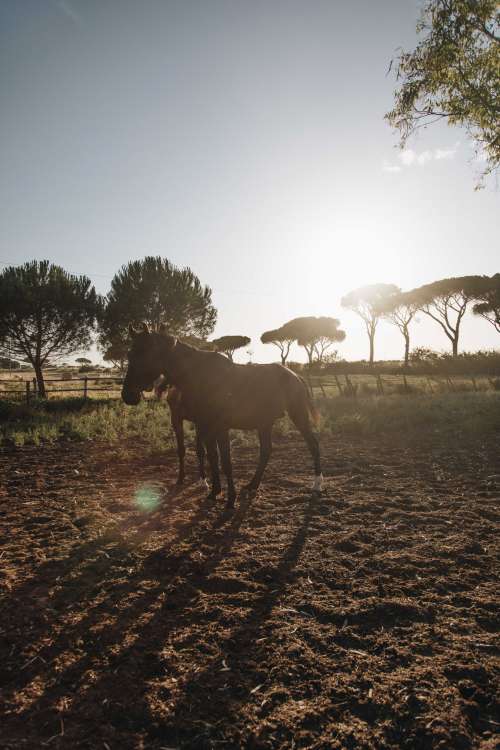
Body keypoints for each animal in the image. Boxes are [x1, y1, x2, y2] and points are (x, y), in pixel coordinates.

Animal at [123, 324, 322, 512]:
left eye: (144, 353)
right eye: (129, 353)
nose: (127, 395)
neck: (201, 378)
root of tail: (295, 376)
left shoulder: (220, 428)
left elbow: (226, 462)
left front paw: (230, 500)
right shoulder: (205, 426)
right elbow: (213, 457)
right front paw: (214, 492)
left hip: (298, 415)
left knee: (313, 445)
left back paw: (317, 484)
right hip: (264, 423)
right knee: (266, 451)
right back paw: (252, 485)